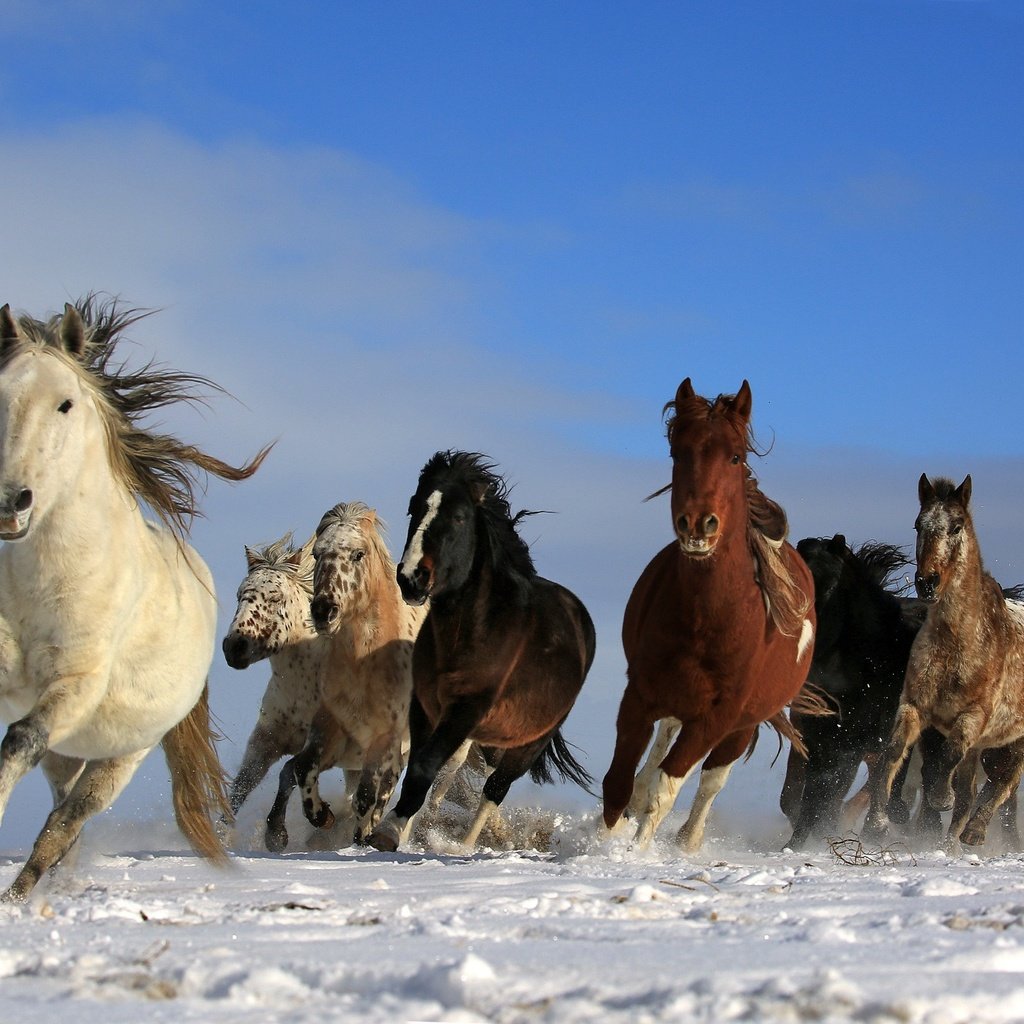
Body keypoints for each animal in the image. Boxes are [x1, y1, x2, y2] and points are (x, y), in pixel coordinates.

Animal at [368, 452, 598, 851]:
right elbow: (420, 766)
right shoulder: (425, 705)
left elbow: (425, 768)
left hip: (528, 742)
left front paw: (388, 832)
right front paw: (401, 831)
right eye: (414, 508)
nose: (411, 578)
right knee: (477, 771)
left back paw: (464, 848)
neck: (470, 633)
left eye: (460, 516)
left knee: (495, 788)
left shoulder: (467, 708)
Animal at [602, 380, 819, 851]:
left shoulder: (717, 717)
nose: (698, 524)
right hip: (675, 703)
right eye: (677, 453)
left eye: (735, 456)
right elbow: (619, 781)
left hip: (741, 726)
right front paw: (600, 844)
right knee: (653, 758)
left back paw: (688, 841)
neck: (707, 619)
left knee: (709, 782)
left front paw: (634, 853)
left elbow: (667, 790)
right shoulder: (640, 693)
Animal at [774, 536, 929, 847]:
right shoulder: (821, 737)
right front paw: (797, 844)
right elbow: (811, 794)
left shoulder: (878, 735)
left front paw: (876, 826)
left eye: (832, 584)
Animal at [864, 475, 1024, 851]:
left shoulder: (973, 717)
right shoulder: (914, 706)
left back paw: (975, 831)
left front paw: (940, 799)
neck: (957, 644)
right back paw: (951, 843)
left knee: (1005, 784)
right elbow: (893, 753)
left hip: (1013, 743)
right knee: (973, 792)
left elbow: (948, 758)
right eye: (918, 524)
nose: (927, 582)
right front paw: (877, 823)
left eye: (957, 526)